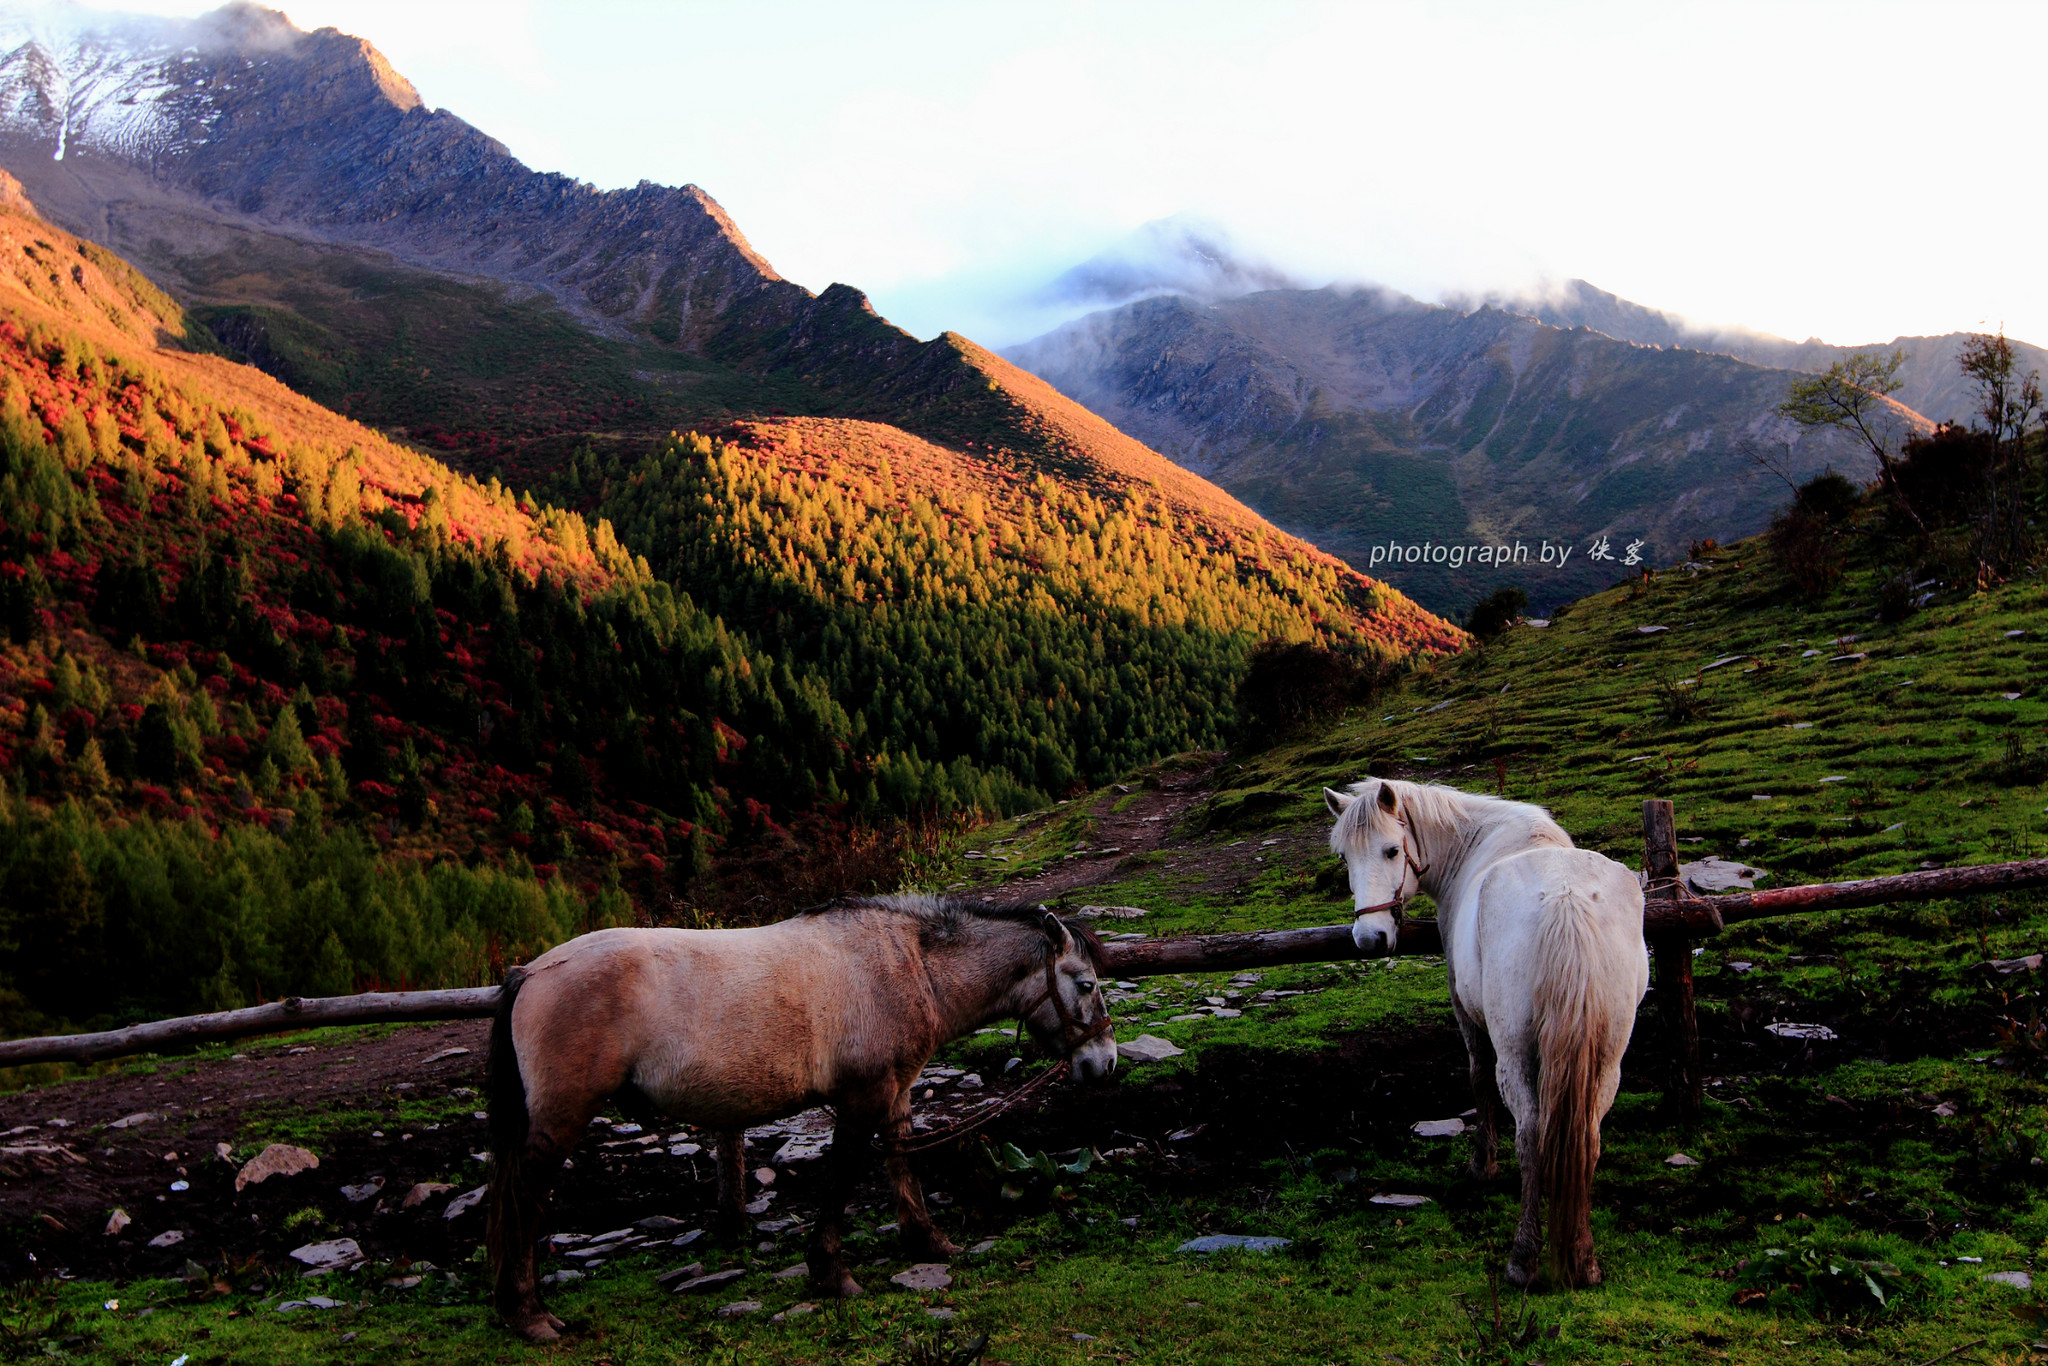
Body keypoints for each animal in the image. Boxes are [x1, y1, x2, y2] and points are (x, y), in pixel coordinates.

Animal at [481, 892, 1122, 1343]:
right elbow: (843, 1176)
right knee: (523, 1199)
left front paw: (929, 1243)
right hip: (561, 1119)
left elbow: (902, 1166)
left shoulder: (895, 1093)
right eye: (1087, 983)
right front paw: (832, 1272)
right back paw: (529, 1316)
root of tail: (531, 973)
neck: (907, 965)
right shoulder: (863, 1096)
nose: (1105, 1062)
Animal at [1327, 774, 1646, 1286]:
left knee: (1531, 1134)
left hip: (1517, 1052)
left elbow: (1478, 1077)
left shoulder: (1464, 1007)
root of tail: (1566, 900)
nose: (1369, 939)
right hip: (1607, 1058)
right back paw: (1583, 1258)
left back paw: (1523, 1258)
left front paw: (1483, 1165)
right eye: (1344, 858)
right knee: (1589, 1135)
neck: (1479, 842)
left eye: (1392, 850)